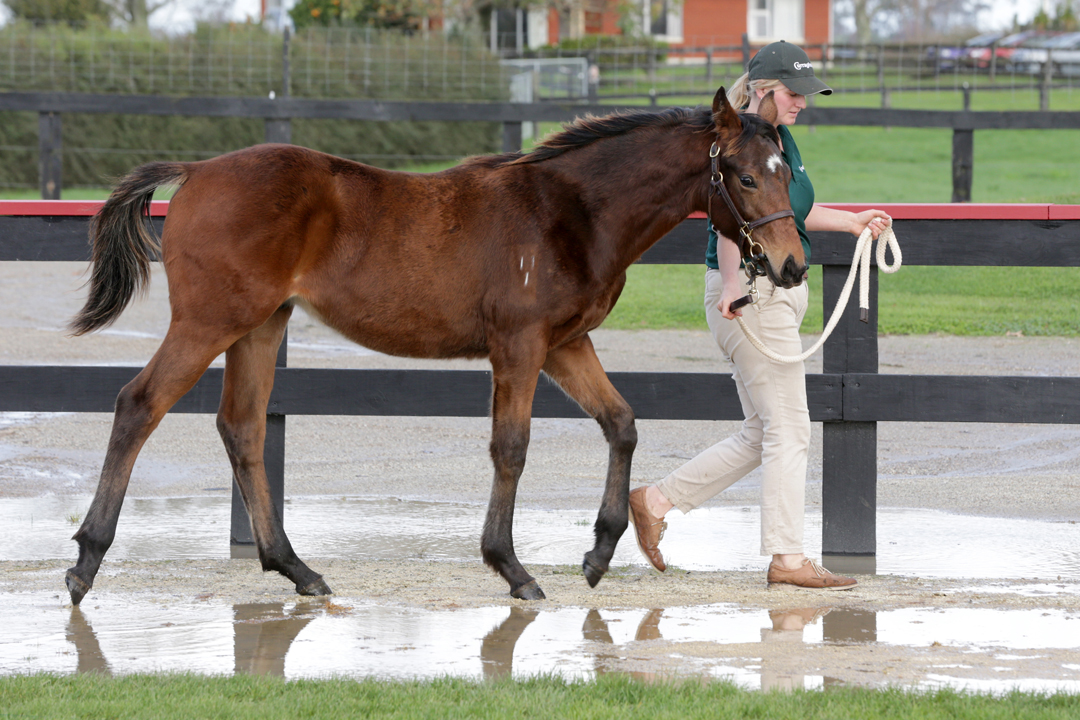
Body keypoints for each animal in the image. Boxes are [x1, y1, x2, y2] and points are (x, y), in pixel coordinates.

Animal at [64, 87, 806, 605]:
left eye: (784, 171)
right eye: (743, 176)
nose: (793, 265)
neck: (569, 211)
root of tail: (196, 171)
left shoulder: (566, 344)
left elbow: (621, 423)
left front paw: (597, 555)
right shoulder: (520, 346)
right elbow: (511, 448)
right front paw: (511, 568)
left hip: (261, 326)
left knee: (242, 428)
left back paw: (297, 569)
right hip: (209, 321)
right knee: (140, 405)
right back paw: (85, 561)